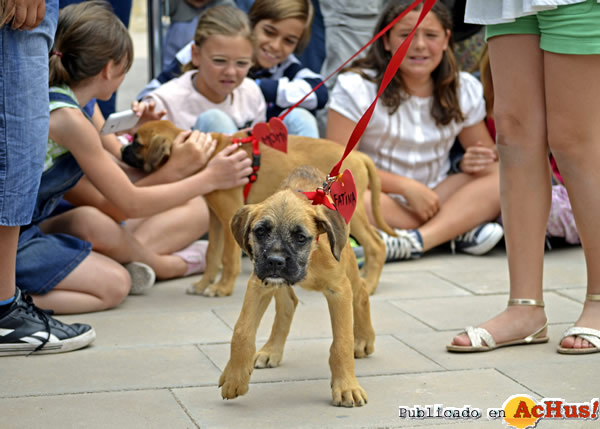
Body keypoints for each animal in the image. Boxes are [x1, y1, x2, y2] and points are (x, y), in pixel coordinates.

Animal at [126, 118, 394, 296]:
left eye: (136, 142)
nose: (122, 150)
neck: (209, 154)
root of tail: (359, 156)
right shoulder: (215, 219)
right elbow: (212, 253)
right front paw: (203, 285)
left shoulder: (229, 215)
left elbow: (228, 257)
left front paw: (222, 288)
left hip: (348, 213)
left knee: (376, 244)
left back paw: (368, 284)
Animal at [220, 166, 376, 406]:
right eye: (260, 232)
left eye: (301, 237)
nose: (275, 261)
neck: (311, 257)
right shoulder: (259, 283)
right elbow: (242, 331)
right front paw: (235, 377)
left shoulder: (338, 291)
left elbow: (342, 342)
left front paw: (347, 387)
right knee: (288, 304)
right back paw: (271, 351)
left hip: (348, 261)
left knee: (361, 293)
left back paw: (364, 339)